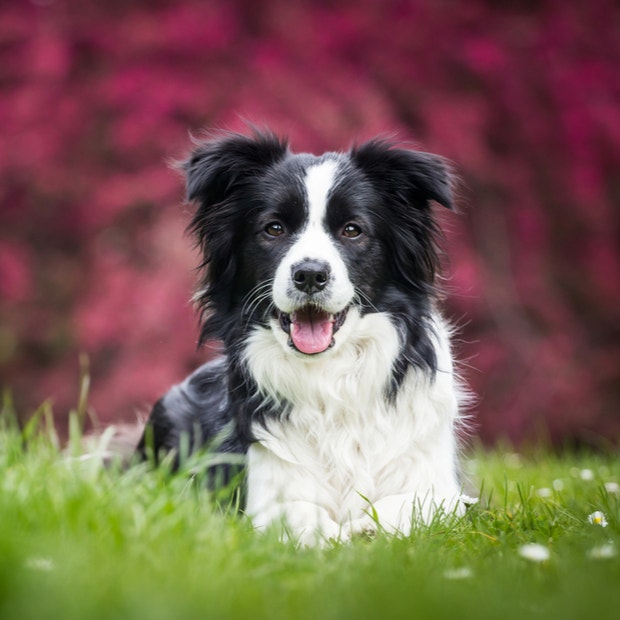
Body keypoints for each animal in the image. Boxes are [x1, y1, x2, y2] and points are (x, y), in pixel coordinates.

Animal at [138, 130, 468, 544]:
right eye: (274, 228)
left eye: (352, 230)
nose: (310, 274)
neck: (329, 375)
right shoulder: (262, 495)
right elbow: (300, 514)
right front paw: (340, 534)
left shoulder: (440, 487)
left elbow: (412, 504)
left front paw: (367, 528)